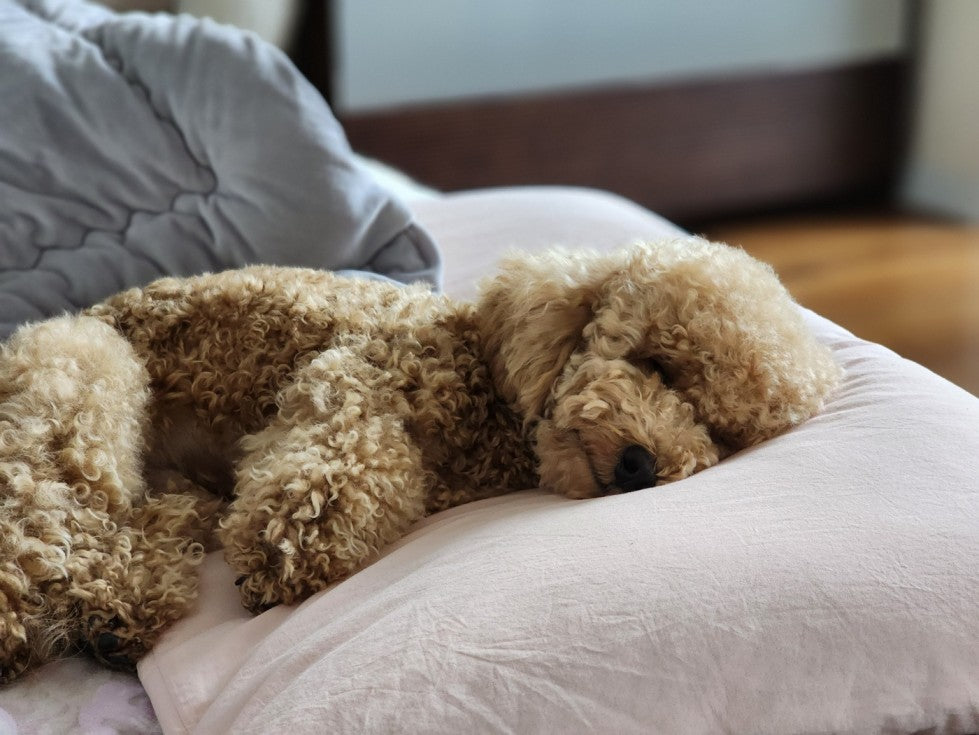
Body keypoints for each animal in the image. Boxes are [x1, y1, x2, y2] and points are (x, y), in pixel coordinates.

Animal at [0, 239, 844, 680]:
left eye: (723, 432)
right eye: (659, 365)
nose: (642, 463)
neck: (486, 397)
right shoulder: (355, 374)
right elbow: (337, 464)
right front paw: (286, 552)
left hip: (161, 483)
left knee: (126, 528)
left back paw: (117, 613)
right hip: (81, 375)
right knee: (42, 523)